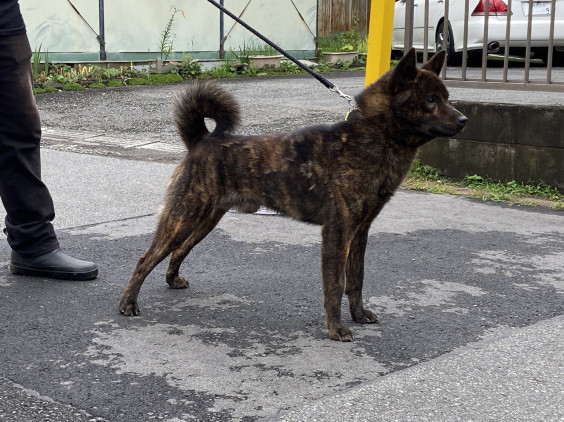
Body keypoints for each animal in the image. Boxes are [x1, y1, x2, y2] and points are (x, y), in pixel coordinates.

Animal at [118, 48, 468, 342]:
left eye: (447, 97)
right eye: (431, 100)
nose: (465, 120)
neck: (370, 137)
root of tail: (202, 141)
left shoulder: (360, 232)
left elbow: (356, 280)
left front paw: (358, 315)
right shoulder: (338, 232)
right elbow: (335, 285)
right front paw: (336, 328)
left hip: (203, 220)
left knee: (178, 251)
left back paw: (171, 280)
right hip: (184, 216)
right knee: (145, 258)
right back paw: (128, 303)